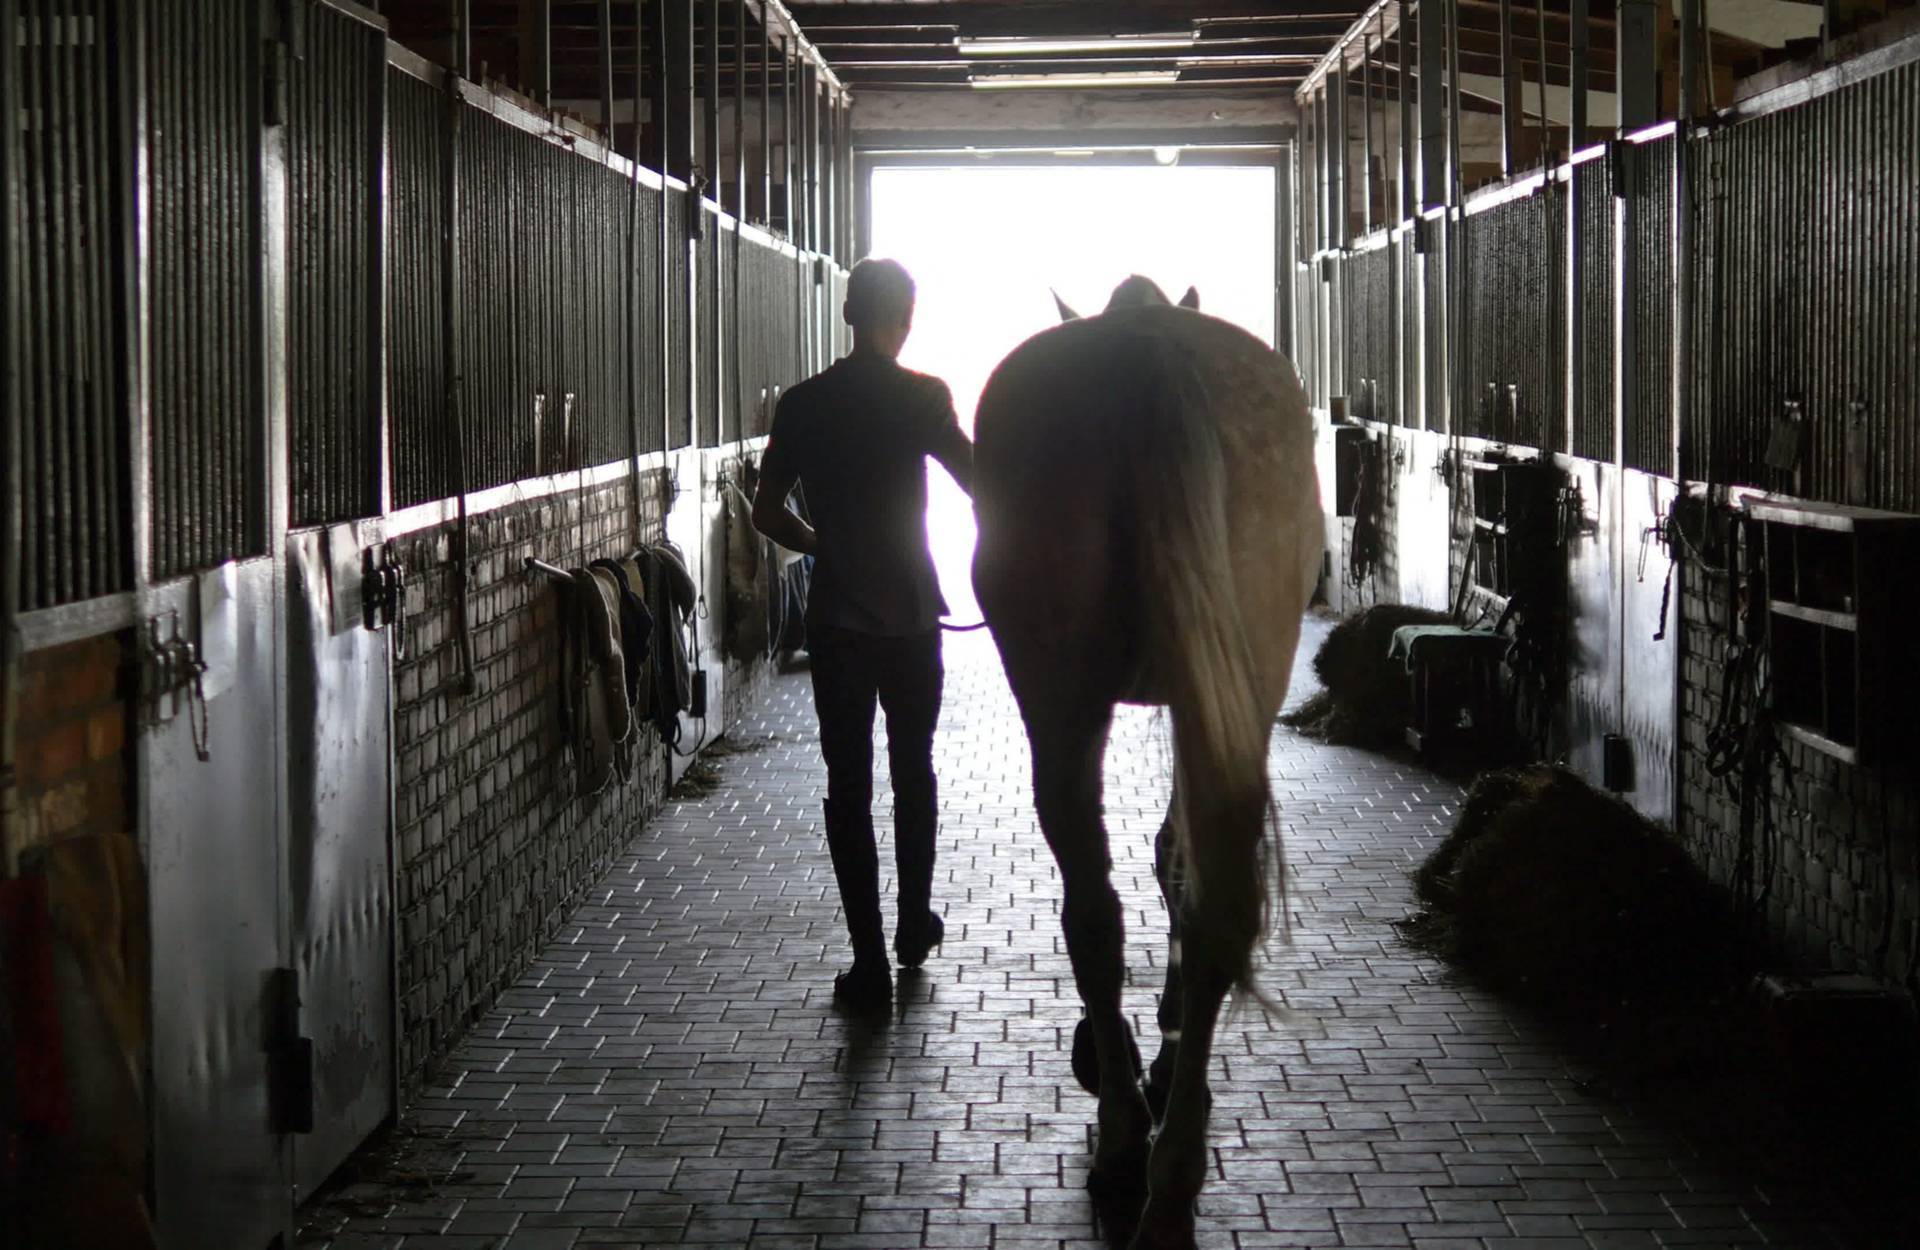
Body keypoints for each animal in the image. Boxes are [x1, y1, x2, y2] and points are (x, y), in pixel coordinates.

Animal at [975, 278, 1320, 1244]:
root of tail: (1145, 352)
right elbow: (1177, 858)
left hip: (1062, 699)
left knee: (1095, 911)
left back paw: (1130, 1133)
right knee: (1202, 912)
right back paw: (1169, 1170)